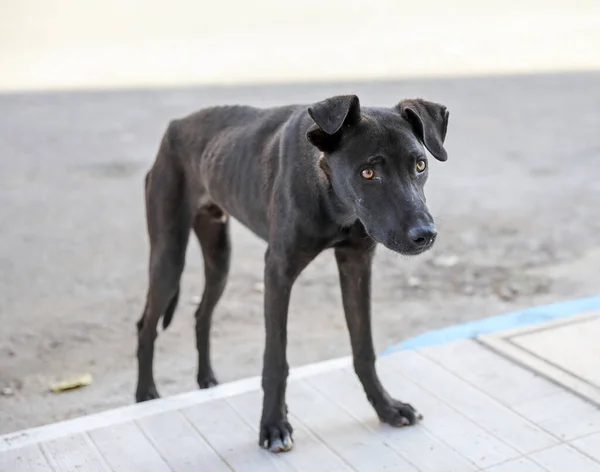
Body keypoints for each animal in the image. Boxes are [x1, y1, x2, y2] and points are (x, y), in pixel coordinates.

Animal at [134, 94, 448, 452]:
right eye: (368, 172)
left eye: (420, 165)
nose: (425, 235)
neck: (331, 196)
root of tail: (175, 126)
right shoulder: (278, 272)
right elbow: (275, 359)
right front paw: (273, 425)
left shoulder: (356, 264)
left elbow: (363, 349)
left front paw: (387, 407)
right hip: (168, 258)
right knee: (146, 325)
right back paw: (146, 394)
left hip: (219, 259)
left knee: (202, 314)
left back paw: (207, 380)